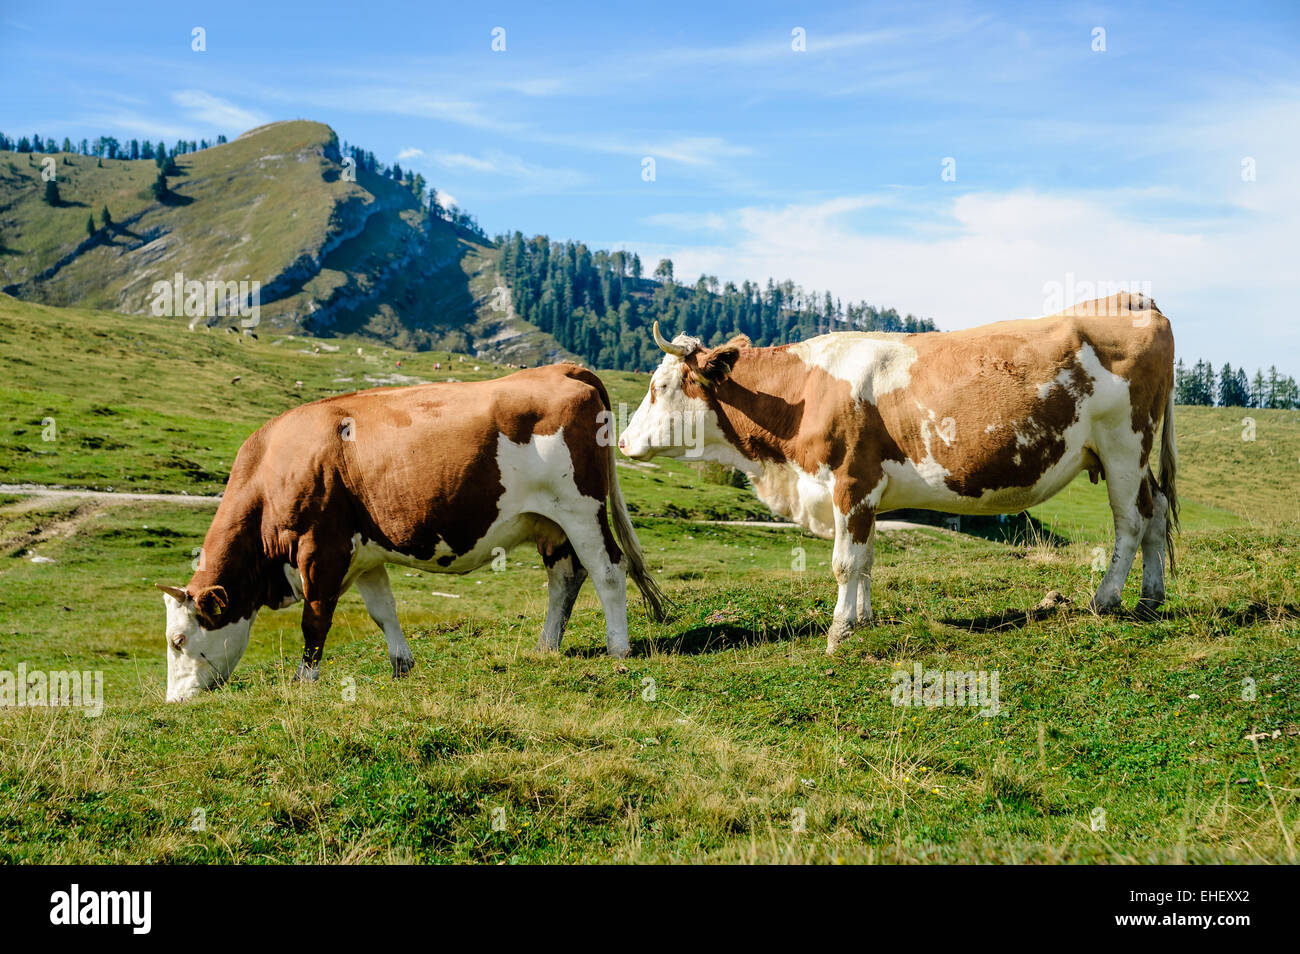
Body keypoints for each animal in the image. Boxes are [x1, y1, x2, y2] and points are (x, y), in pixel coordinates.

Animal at [157, 364, 665, 701]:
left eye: (178, 640)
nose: (175, 701)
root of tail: (561, 368)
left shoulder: (320, 548)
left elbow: (315, 618)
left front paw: (305, 680)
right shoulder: (363, 554)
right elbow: (383, 611)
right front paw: (402, 665)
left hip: (581, 508)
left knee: (608, 570)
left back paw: (618, 648)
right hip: (550, 522)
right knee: (565, 577)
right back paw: (546, 646)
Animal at [618, 291, 1177, 653]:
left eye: (659, 386)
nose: (621, 441)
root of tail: (1133, 299)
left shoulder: (851, 483)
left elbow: (845, 563)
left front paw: (838, 632)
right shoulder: (865, 495)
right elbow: (866, 560)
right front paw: (862, 620)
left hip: (1123, 446)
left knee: (1130, 522)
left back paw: (1106, 599)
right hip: (1128, 457)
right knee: (1156, 513)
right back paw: (1150, 599)